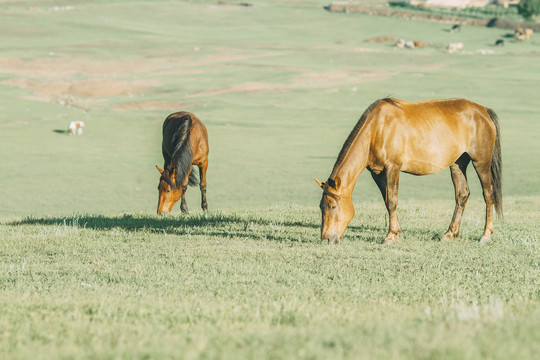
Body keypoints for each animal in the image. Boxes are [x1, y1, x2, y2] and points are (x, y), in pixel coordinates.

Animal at [316, 98, 502, 245]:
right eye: (321, 206)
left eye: (332, 206)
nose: (326, 238)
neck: (377, 129)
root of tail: (483, 111)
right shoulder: (377, 173)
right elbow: (386, 201)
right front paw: (397, 232)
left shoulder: (393, 168)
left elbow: (392, 201)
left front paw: (390, 237)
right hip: (458, 163)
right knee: (462, 194)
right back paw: (450, 234)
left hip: (481, 162)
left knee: (488, 194)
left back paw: (485, 235)